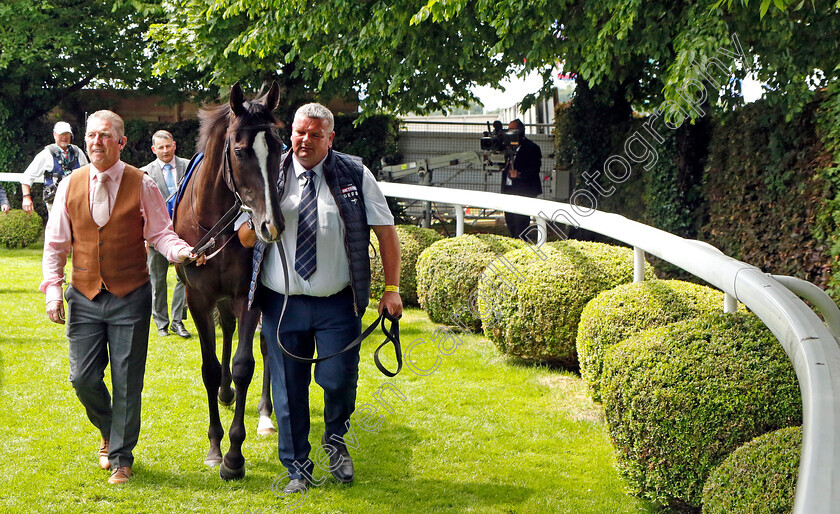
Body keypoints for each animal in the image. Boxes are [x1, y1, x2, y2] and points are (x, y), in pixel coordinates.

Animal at [174, 80, 286, 476]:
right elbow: (210, 367)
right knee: (226, 330)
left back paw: (266, 415)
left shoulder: (248, 294)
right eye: (239, 151)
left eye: (278, 147)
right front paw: (214, 447)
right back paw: (225, 393)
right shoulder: (198, 298)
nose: (272, 225)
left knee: (267, 346)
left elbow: (243, 365)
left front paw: (234, 456)